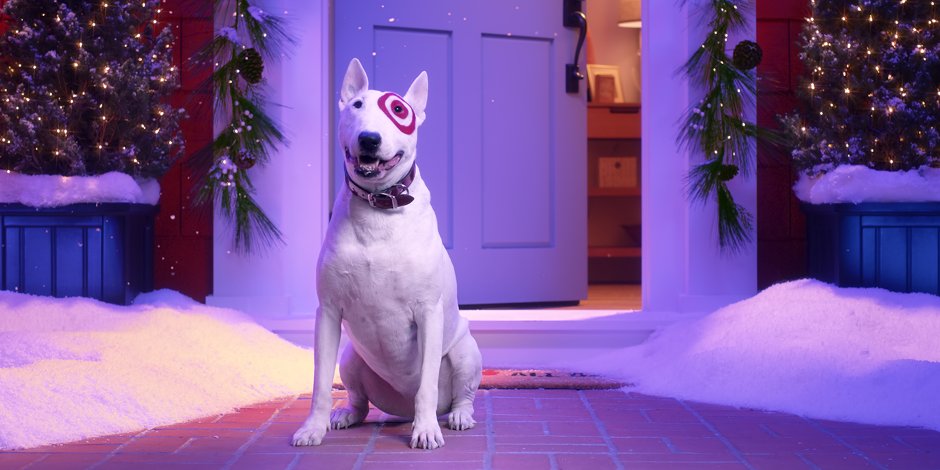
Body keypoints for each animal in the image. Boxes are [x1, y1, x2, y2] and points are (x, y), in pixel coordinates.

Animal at [292, 59, 484, 452]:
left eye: (399, 110)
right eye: (356, 105)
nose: (369, 139)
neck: (378, 206)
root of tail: (401, 409)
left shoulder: (428, 313)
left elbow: (426, 385)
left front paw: (426, 432)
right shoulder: (328, 312)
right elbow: (320, 384)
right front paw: (312, 429)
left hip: (465, 353)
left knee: (461, 394)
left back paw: (457, 417)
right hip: (351, 357)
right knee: (359, 399)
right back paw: (346, 415)